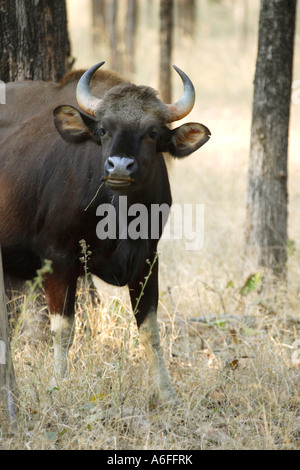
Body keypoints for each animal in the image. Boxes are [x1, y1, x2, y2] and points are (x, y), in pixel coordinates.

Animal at [0, 62, 210, 404]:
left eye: (152, 133)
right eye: (103, 130)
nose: (119, 167)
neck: (120, 217)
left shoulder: (147, 260)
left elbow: (150, 328)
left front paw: (167, 392)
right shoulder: (58, 259)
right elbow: (63, 330)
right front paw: (58, 385)